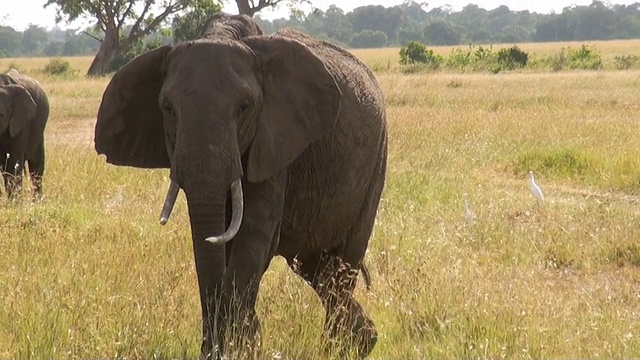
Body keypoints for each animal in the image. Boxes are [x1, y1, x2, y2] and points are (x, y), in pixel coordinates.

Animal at [0, 67, 49, 200]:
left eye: (2, 115)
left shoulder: (22, 122)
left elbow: (13, 164)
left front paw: (14, 203)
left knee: (36, 167)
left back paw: (37, 201)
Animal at [92, 12, 388, 358]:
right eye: (168, 109)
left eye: (244, 107)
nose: (211, 349)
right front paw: (239, 345)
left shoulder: (275, 139)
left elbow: (252, 236)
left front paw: (240, 347)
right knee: (317, 269)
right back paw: (362, 339)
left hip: (375, 166)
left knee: (340, 269)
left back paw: (342, 348)